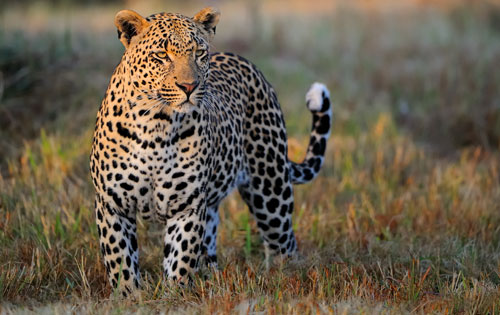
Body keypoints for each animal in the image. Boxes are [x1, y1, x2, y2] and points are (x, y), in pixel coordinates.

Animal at [90, 7, 332, 298]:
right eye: (162, 55)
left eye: (199, 53)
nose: (189, 87)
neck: (155, 125)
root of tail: (245, 61)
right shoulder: (112, 205)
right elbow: (120, 259)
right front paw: (129, 297)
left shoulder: (187, 206)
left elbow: (180, 259)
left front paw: (175, 296)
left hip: (271, 192)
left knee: (285, 245)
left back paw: (289, 278)